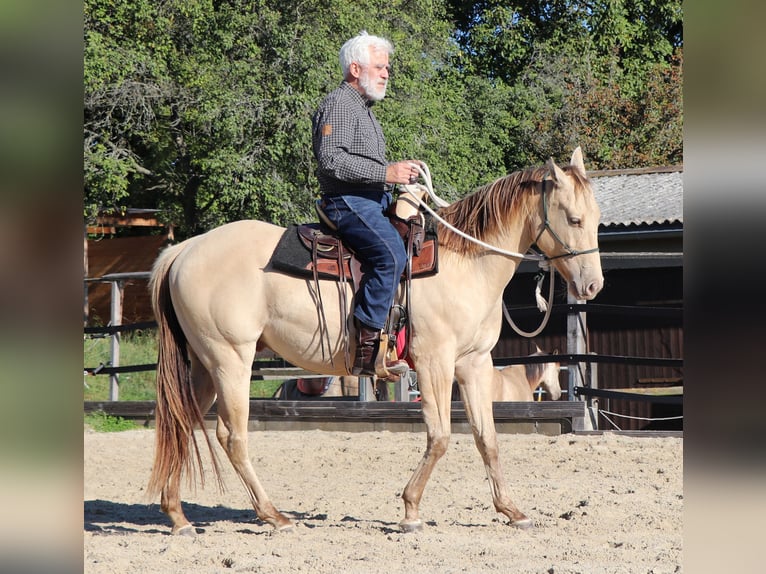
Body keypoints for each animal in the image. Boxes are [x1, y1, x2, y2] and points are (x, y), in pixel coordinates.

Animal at [146, 147, 603, 534]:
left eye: (596, 218)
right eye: (573, 219)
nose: (593, 285)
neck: (465, 263)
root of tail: (184, 250)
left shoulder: (474, 363)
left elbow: (486, 439)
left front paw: (512, 511)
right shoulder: (434, 361)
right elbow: (439, 437)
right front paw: (411, 510)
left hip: (205, 365)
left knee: (181, 423)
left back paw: (178, 516)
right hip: (230, 361)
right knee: (232, 437)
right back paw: (274, 516)